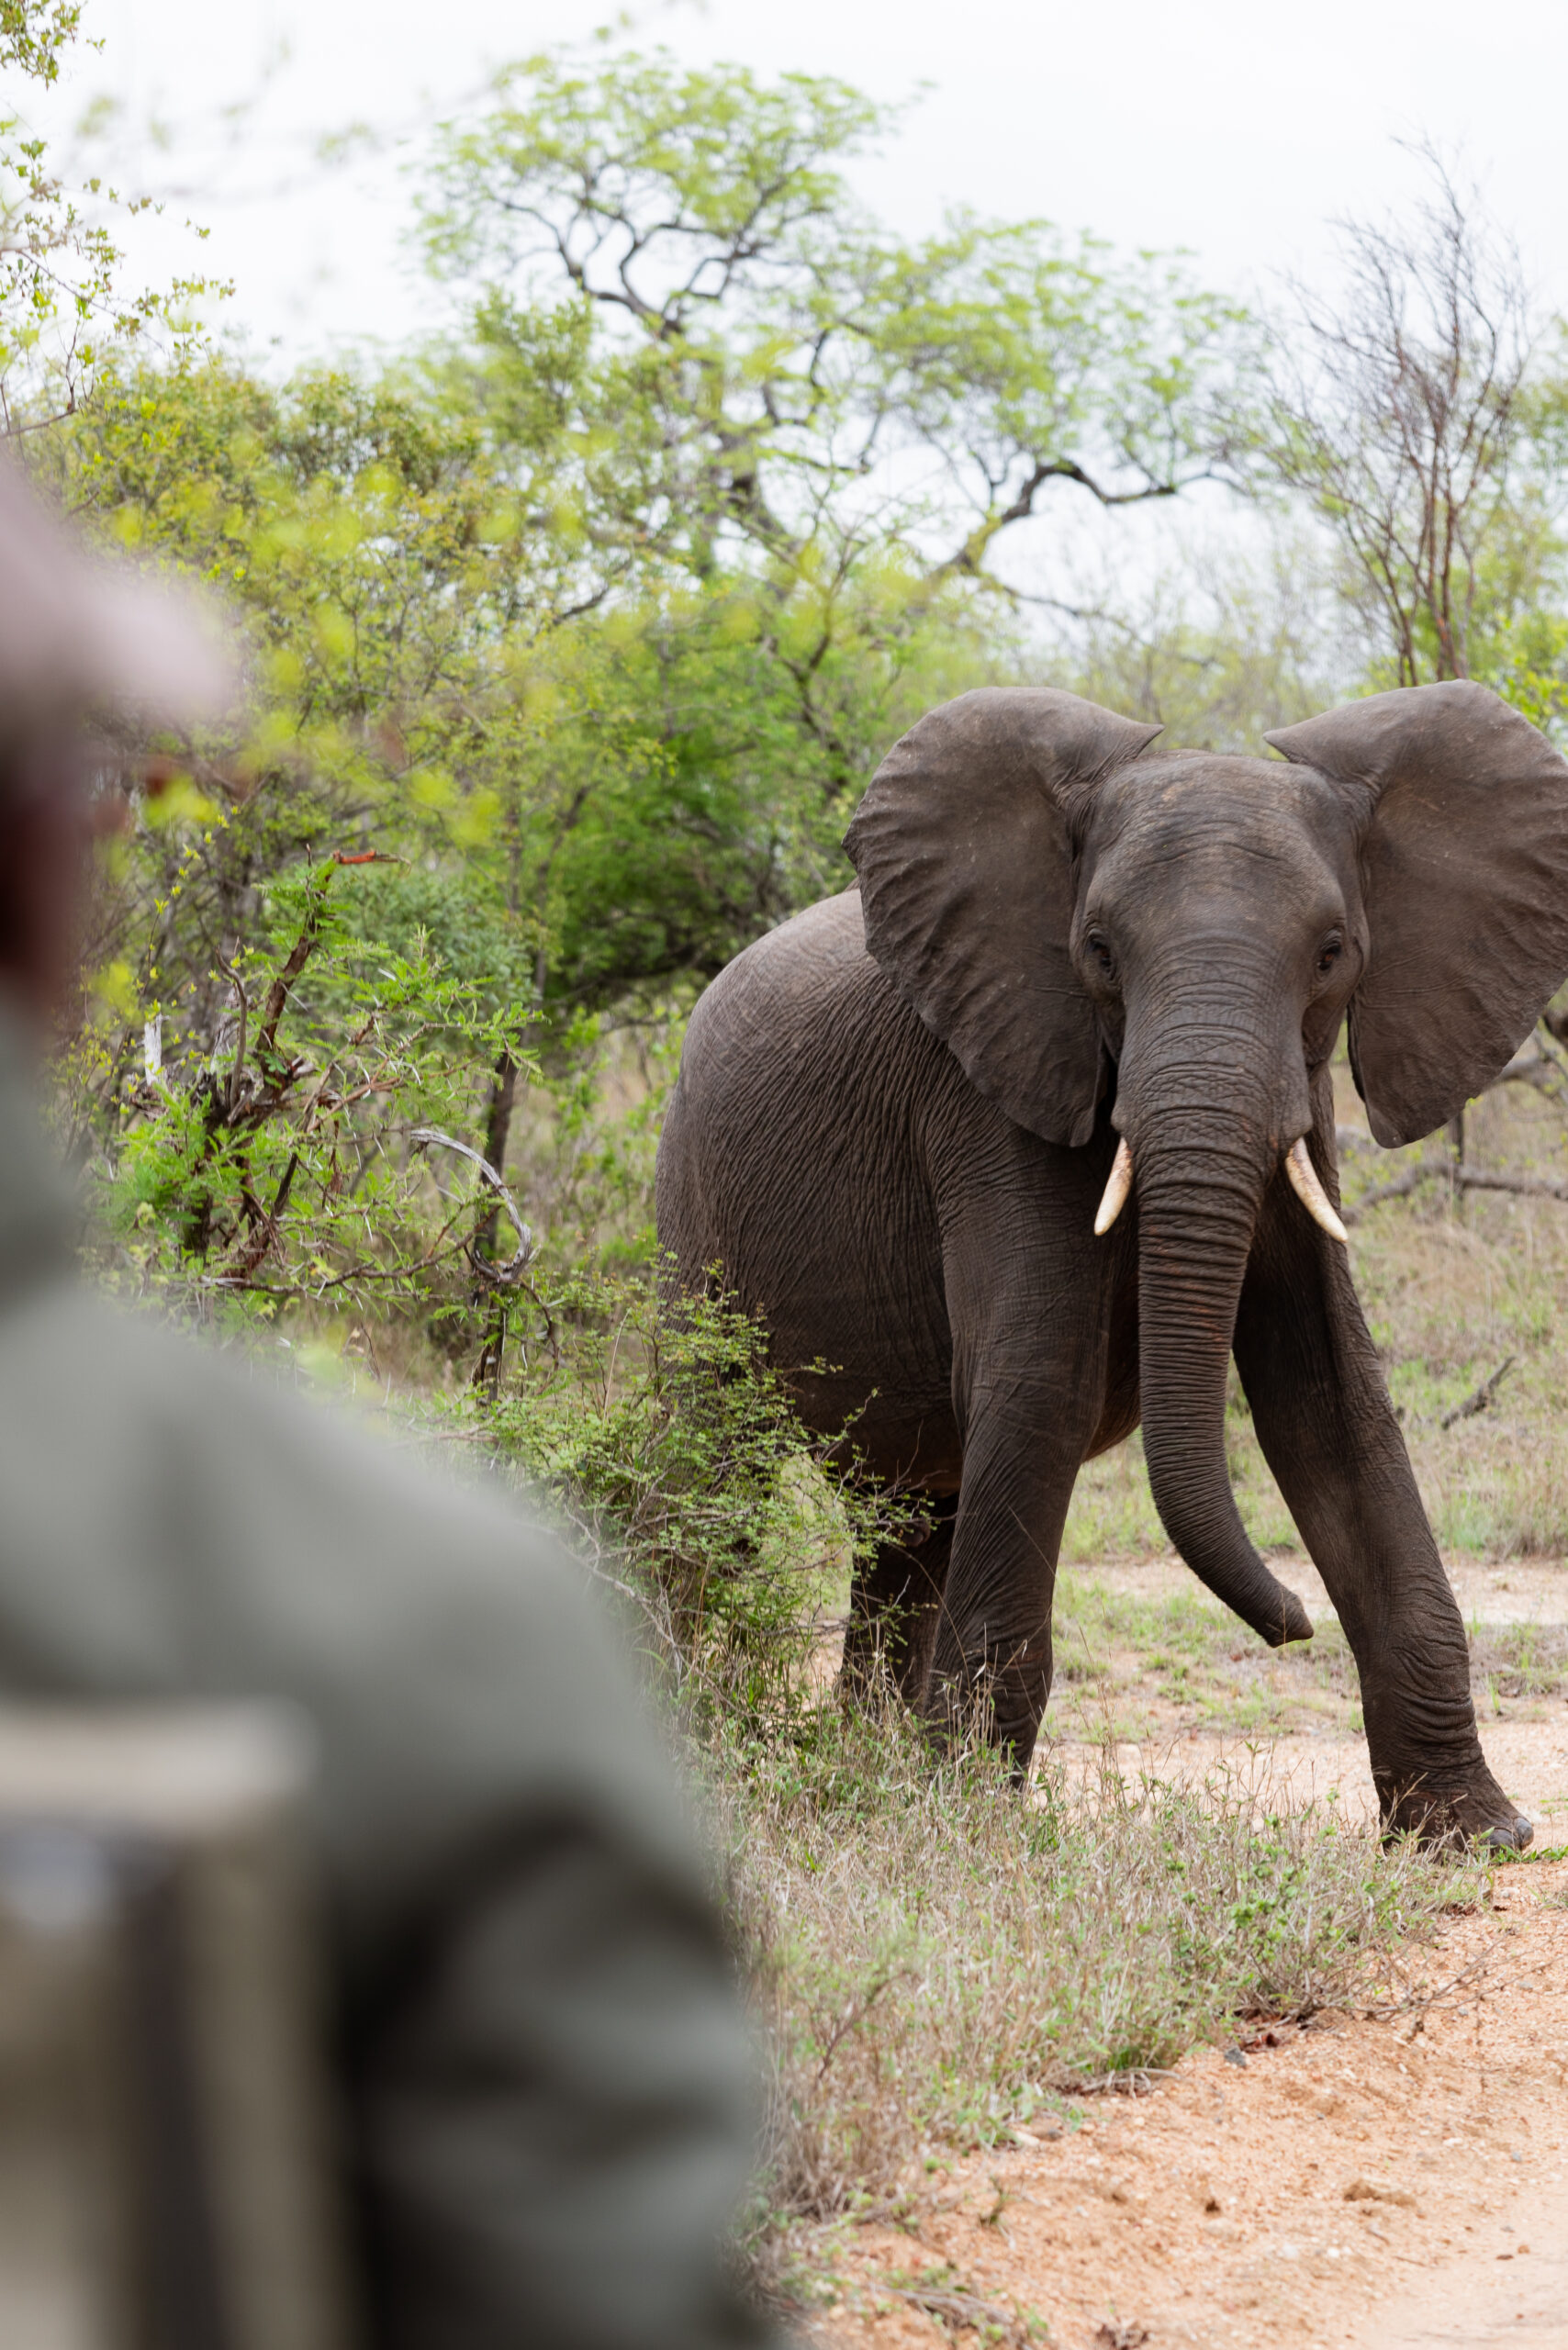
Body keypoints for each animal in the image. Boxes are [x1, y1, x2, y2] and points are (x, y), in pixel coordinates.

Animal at [653, 686, 1568, 1852]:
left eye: (1331, 953)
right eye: (1094, 949)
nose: (1291, 1625)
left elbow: (1332, 1403)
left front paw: (1475, 1836)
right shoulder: (991, 1093)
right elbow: (1041, 1383)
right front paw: (964, 1823)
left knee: (908, 1515)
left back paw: (863, 1765)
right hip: (692, 1203)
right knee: (709, 1476)